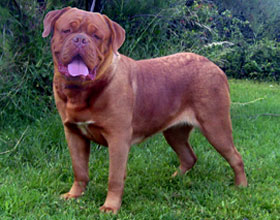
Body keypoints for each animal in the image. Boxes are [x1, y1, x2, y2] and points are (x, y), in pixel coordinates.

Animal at [42, 6, 247, 213]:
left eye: (96, 36)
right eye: (67, 30)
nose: (81, 40)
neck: (81, 91)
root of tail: (215, 66)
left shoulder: (118, 138)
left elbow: (114, 177)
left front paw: (110, 207)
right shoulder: (74, 133)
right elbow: (79, 170)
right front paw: (74, 195)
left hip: (215, 126)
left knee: (236, 157)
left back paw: (241, 187)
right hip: (175, 132)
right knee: (189, 156)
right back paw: (175, 179)